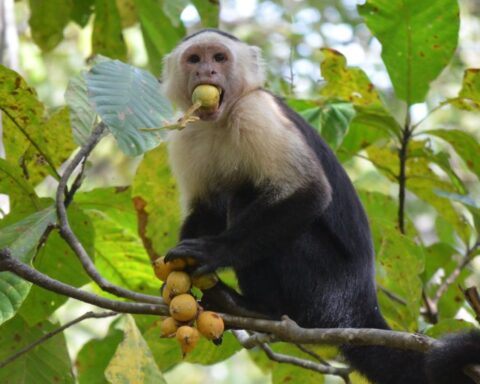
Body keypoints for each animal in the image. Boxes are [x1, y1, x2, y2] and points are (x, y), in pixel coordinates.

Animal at [162, 29, 480, 384]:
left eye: (219, 58)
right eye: (194, 59)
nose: (207, 71)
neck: (220, 119)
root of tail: (361, 305)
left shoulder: (256, 112)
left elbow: (310, 193)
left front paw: (215, 251)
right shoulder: (186, 133)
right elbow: (205, 209)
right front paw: (176, 272)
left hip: (326, 289)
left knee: (249, 198)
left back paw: (257, 307)